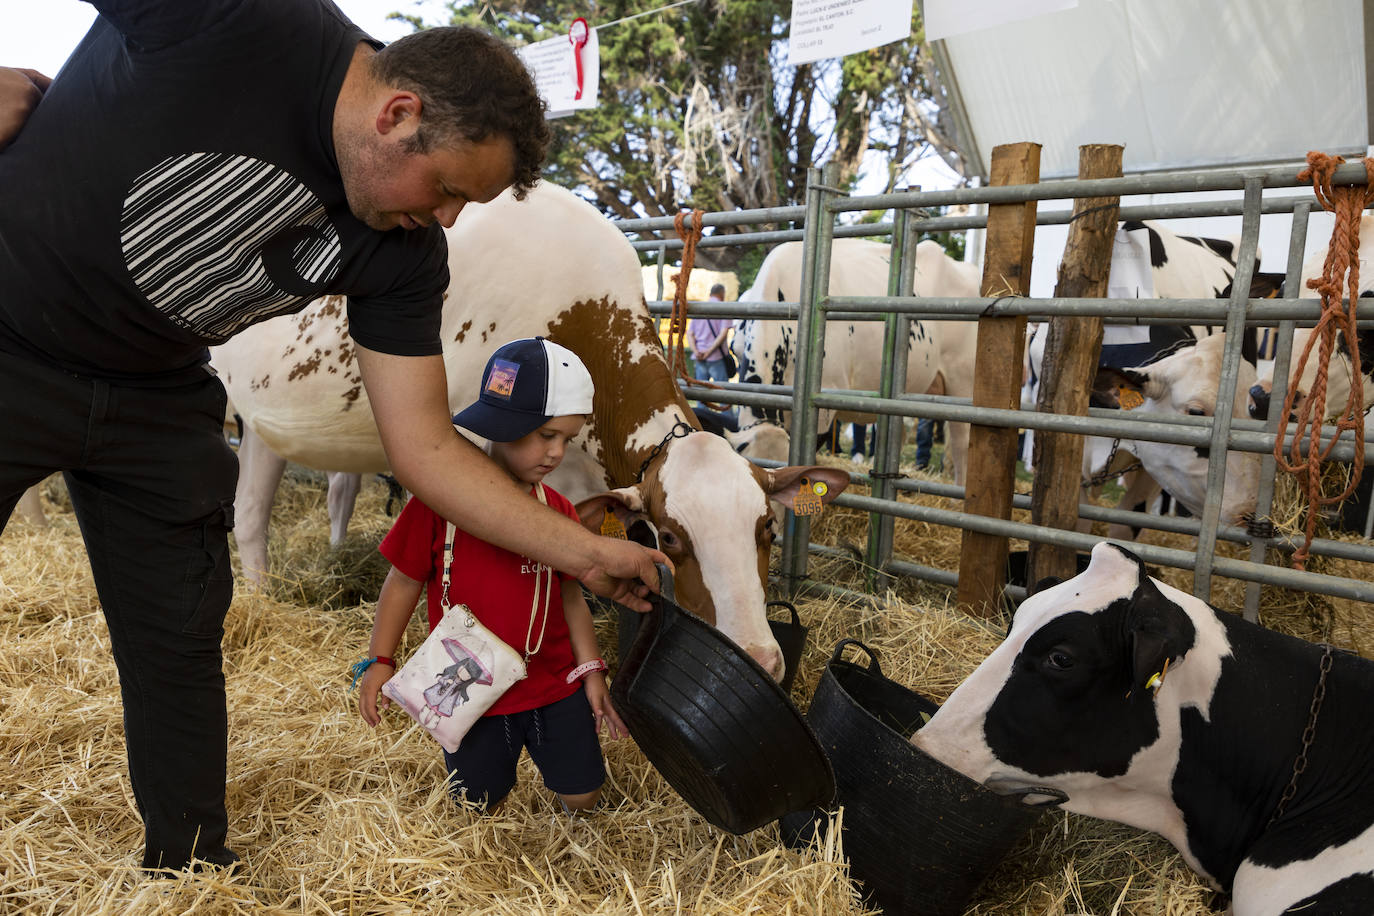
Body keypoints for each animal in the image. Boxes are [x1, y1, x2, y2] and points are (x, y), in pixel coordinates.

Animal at [208, 181, 846, 681]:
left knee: (287, 503)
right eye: (669, 538)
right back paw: (259, 603)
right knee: (250, 513)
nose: (761, 661)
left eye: (767, 527)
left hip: (268, 427)